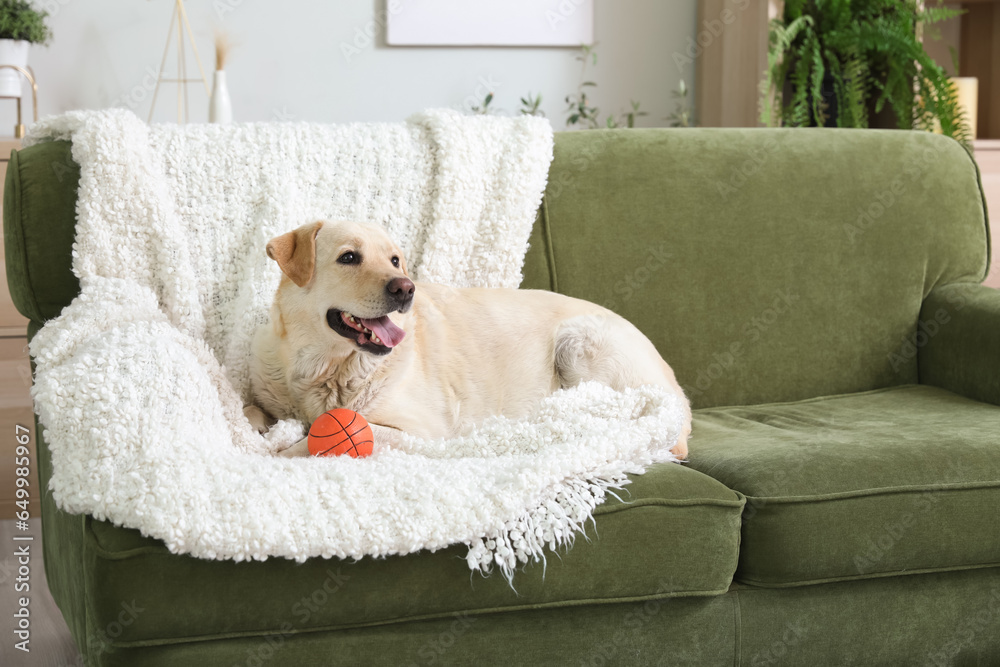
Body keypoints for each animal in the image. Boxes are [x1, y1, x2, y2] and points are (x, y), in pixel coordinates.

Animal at [246, 220, 692, 460]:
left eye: (394, 260)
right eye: (349, 257)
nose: (405, 289)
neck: (324, 368)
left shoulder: (419, 431)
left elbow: (316, 440)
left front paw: (279, 450)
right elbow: (253, 410)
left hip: (579, 343)